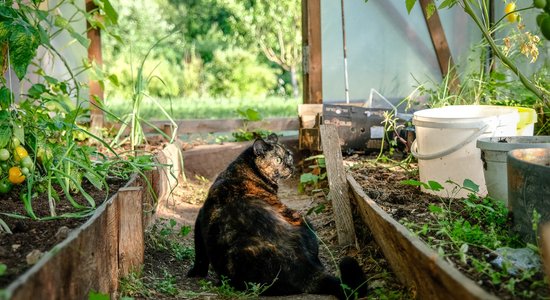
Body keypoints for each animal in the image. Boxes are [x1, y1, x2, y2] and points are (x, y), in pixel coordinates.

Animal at [188, 134, 368, 300]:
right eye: (277, 159)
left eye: (289, 155)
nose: (290, 166)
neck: (244, 172)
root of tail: (304, 269)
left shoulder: (200, 219)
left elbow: (200, 254)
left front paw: (195, 273)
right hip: (303, 220)